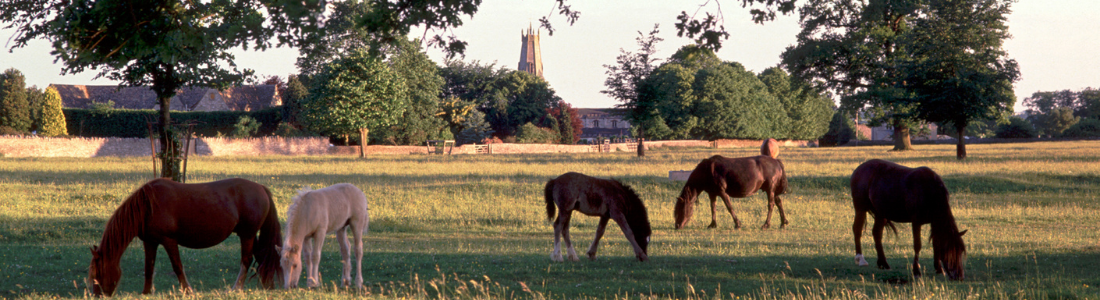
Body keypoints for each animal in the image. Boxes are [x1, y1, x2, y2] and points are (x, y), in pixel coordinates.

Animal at [88, 178, 283, 294]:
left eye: (98, 273)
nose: (99, 295)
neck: (147, 206)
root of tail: (261, 188)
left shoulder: (168, 240)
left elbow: (177, 266)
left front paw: (188, 290)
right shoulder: (150, 242)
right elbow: (148, 268)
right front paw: (146, 293)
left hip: (247, 235)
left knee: (246, 260)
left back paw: (236, 288)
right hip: (250, 235)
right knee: (263, 256)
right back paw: (267, 286)